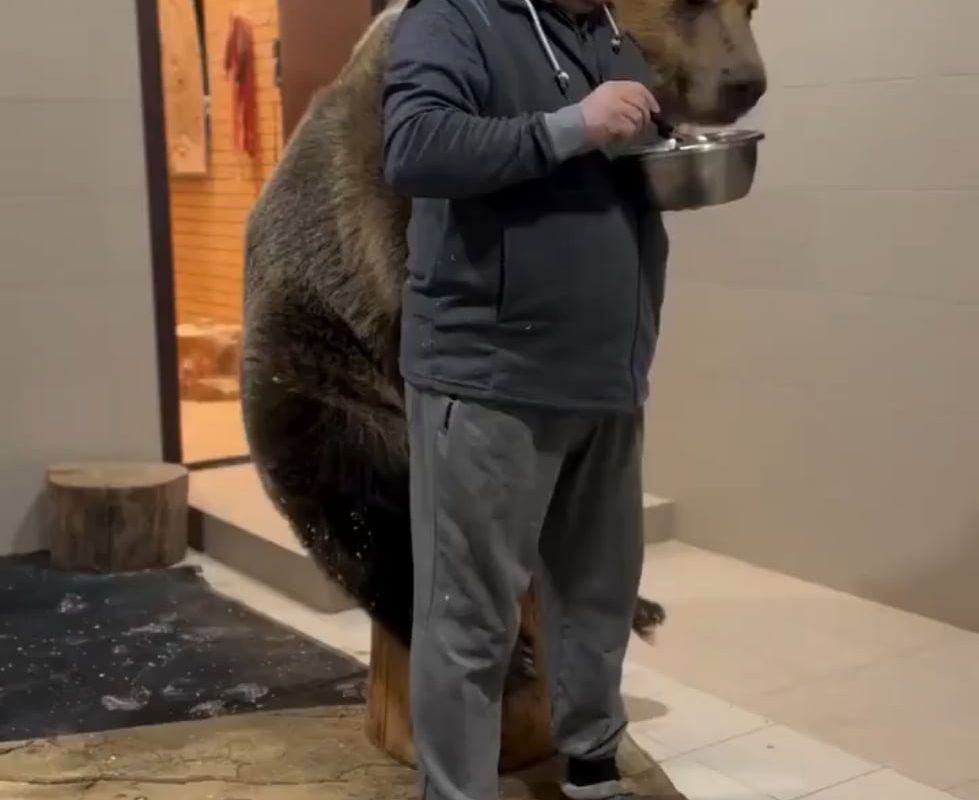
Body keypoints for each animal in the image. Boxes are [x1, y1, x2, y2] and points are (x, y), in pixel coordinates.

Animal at [241, 0, 766, 676]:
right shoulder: (380, 179)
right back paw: (504, 648)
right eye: (689, 6)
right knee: (364, 502)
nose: (747, 81)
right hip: (316, 364)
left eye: (751, 8)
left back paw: (641, 609)